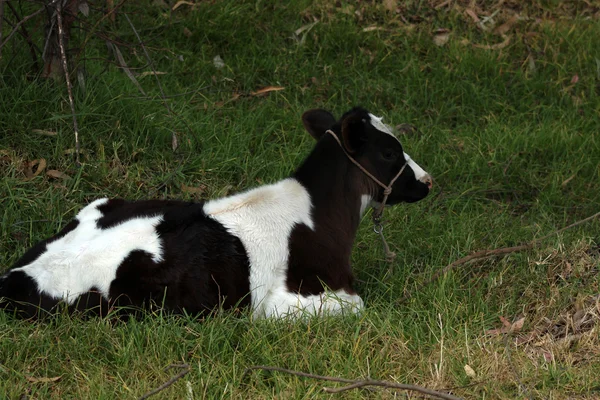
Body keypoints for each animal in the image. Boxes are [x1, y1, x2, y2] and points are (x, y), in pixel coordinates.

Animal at [0, 106, 432, 318]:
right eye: (390, 152)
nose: (428, 180)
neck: (319, 214)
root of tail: (15, 275)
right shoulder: (291, 301)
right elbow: (357, 308)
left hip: (102, 203)